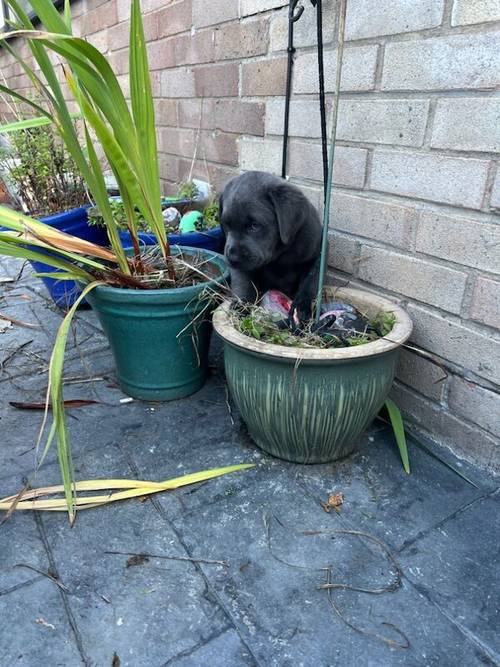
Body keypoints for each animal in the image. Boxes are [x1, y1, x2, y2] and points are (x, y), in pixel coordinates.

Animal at [220, 170, 322, 320]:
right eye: (226, 225)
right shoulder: (243, 267)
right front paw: (241, 306)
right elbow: (244, 284)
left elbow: (310, 284)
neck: (279, 256)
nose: (232, 258)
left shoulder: (316, 257)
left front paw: (302, 309)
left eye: (254, 225)